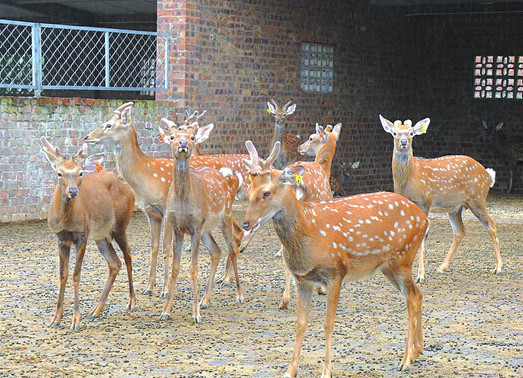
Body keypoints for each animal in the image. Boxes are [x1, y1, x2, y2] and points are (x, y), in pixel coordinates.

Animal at [41, 137, 135, 330]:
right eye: (59, 173)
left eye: (81, 173)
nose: (73, 191)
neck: (66, 220)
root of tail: (128, 189)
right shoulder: (60, 238)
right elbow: (63, 275)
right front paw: (56, 318)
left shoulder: (82, 236)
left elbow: (76, 275)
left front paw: (76, 320)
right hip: (101, 236)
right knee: (115, 263)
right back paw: (96, 309)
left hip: (120, 225)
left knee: (128, 255)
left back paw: (131, 301)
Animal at [85, 102, 249, 296]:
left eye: (109, 124)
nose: (87, 137)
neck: (145, 175)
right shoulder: (151, 213)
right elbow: (154, 247)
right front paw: (149, 287)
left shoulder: (167, 211)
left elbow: (166, 248)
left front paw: (164, 289)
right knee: (236, 233)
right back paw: (224, 278)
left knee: (236, 233)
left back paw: (227, 279)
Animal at [160, 120, 244, 322]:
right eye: (172, 137)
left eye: (192, 137)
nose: (183, 143)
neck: (183, 203)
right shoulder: (178, 228)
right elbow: (175, 268)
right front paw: (166, 310)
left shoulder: (195, 228)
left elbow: (193, 268)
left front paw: (195, 314)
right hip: (207, 229)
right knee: (217, 251)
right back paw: (205, 300)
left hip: (225, 216)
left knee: (232, 247)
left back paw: (239, 294)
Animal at [242, 140, 430, 376]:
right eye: (248, 189)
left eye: (266, 193)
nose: (245, 223)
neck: (308, 234)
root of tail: (424, 219)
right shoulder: (302, 280)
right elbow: (300, 323)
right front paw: (290, 370)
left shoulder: (335, 272)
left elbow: (327, 323)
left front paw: (326, 371)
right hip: (389, 266)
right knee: (417, 294)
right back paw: (416, 351)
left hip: (403, 258)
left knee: (412, 299)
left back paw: (405, 360)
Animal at [380, 114, 504, 280]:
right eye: (394, 133)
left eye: (411, 133)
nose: (404, 142)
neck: (409, 177)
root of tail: (488, 175)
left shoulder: (424, 201)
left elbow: (422, 237)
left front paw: (420, 275)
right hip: (455, 207)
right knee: (460, 231)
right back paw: (442, 267)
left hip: (477, 199)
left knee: (491, 225)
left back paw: (498, 267)